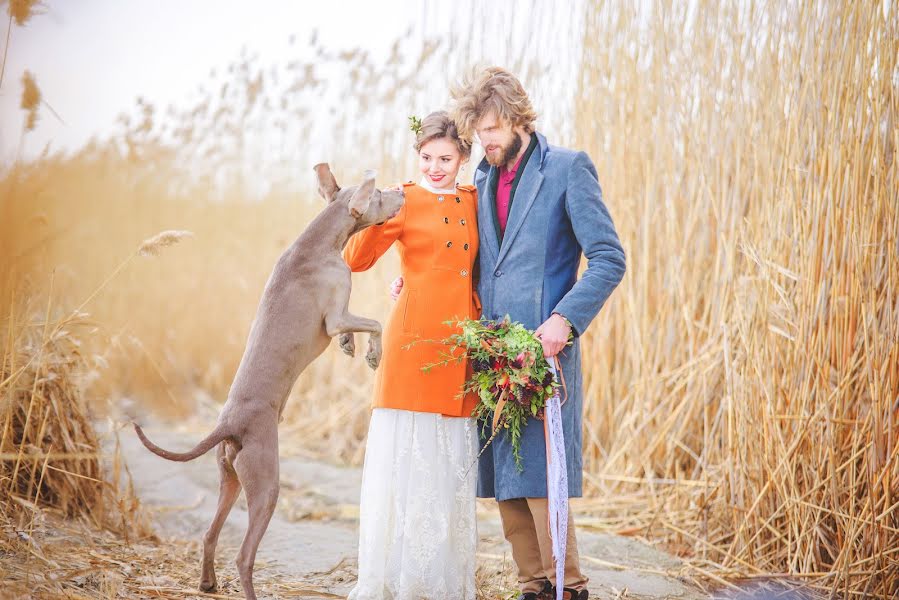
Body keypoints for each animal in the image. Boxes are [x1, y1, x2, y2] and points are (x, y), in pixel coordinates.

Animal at [134, 165, 404, 600]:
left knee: (209, 535)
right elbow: (375, 323)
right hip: (265, 483)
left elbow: (356, 328)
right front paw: (372, 354)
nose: (402, 191)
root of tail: (228, 424)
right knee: (244, 554)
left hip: (229, 476)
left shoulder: (340, 314)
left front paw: (350, 347)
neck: (319, 240)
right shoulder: (335, 314)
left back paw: (208, 583)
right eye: (379, 194)